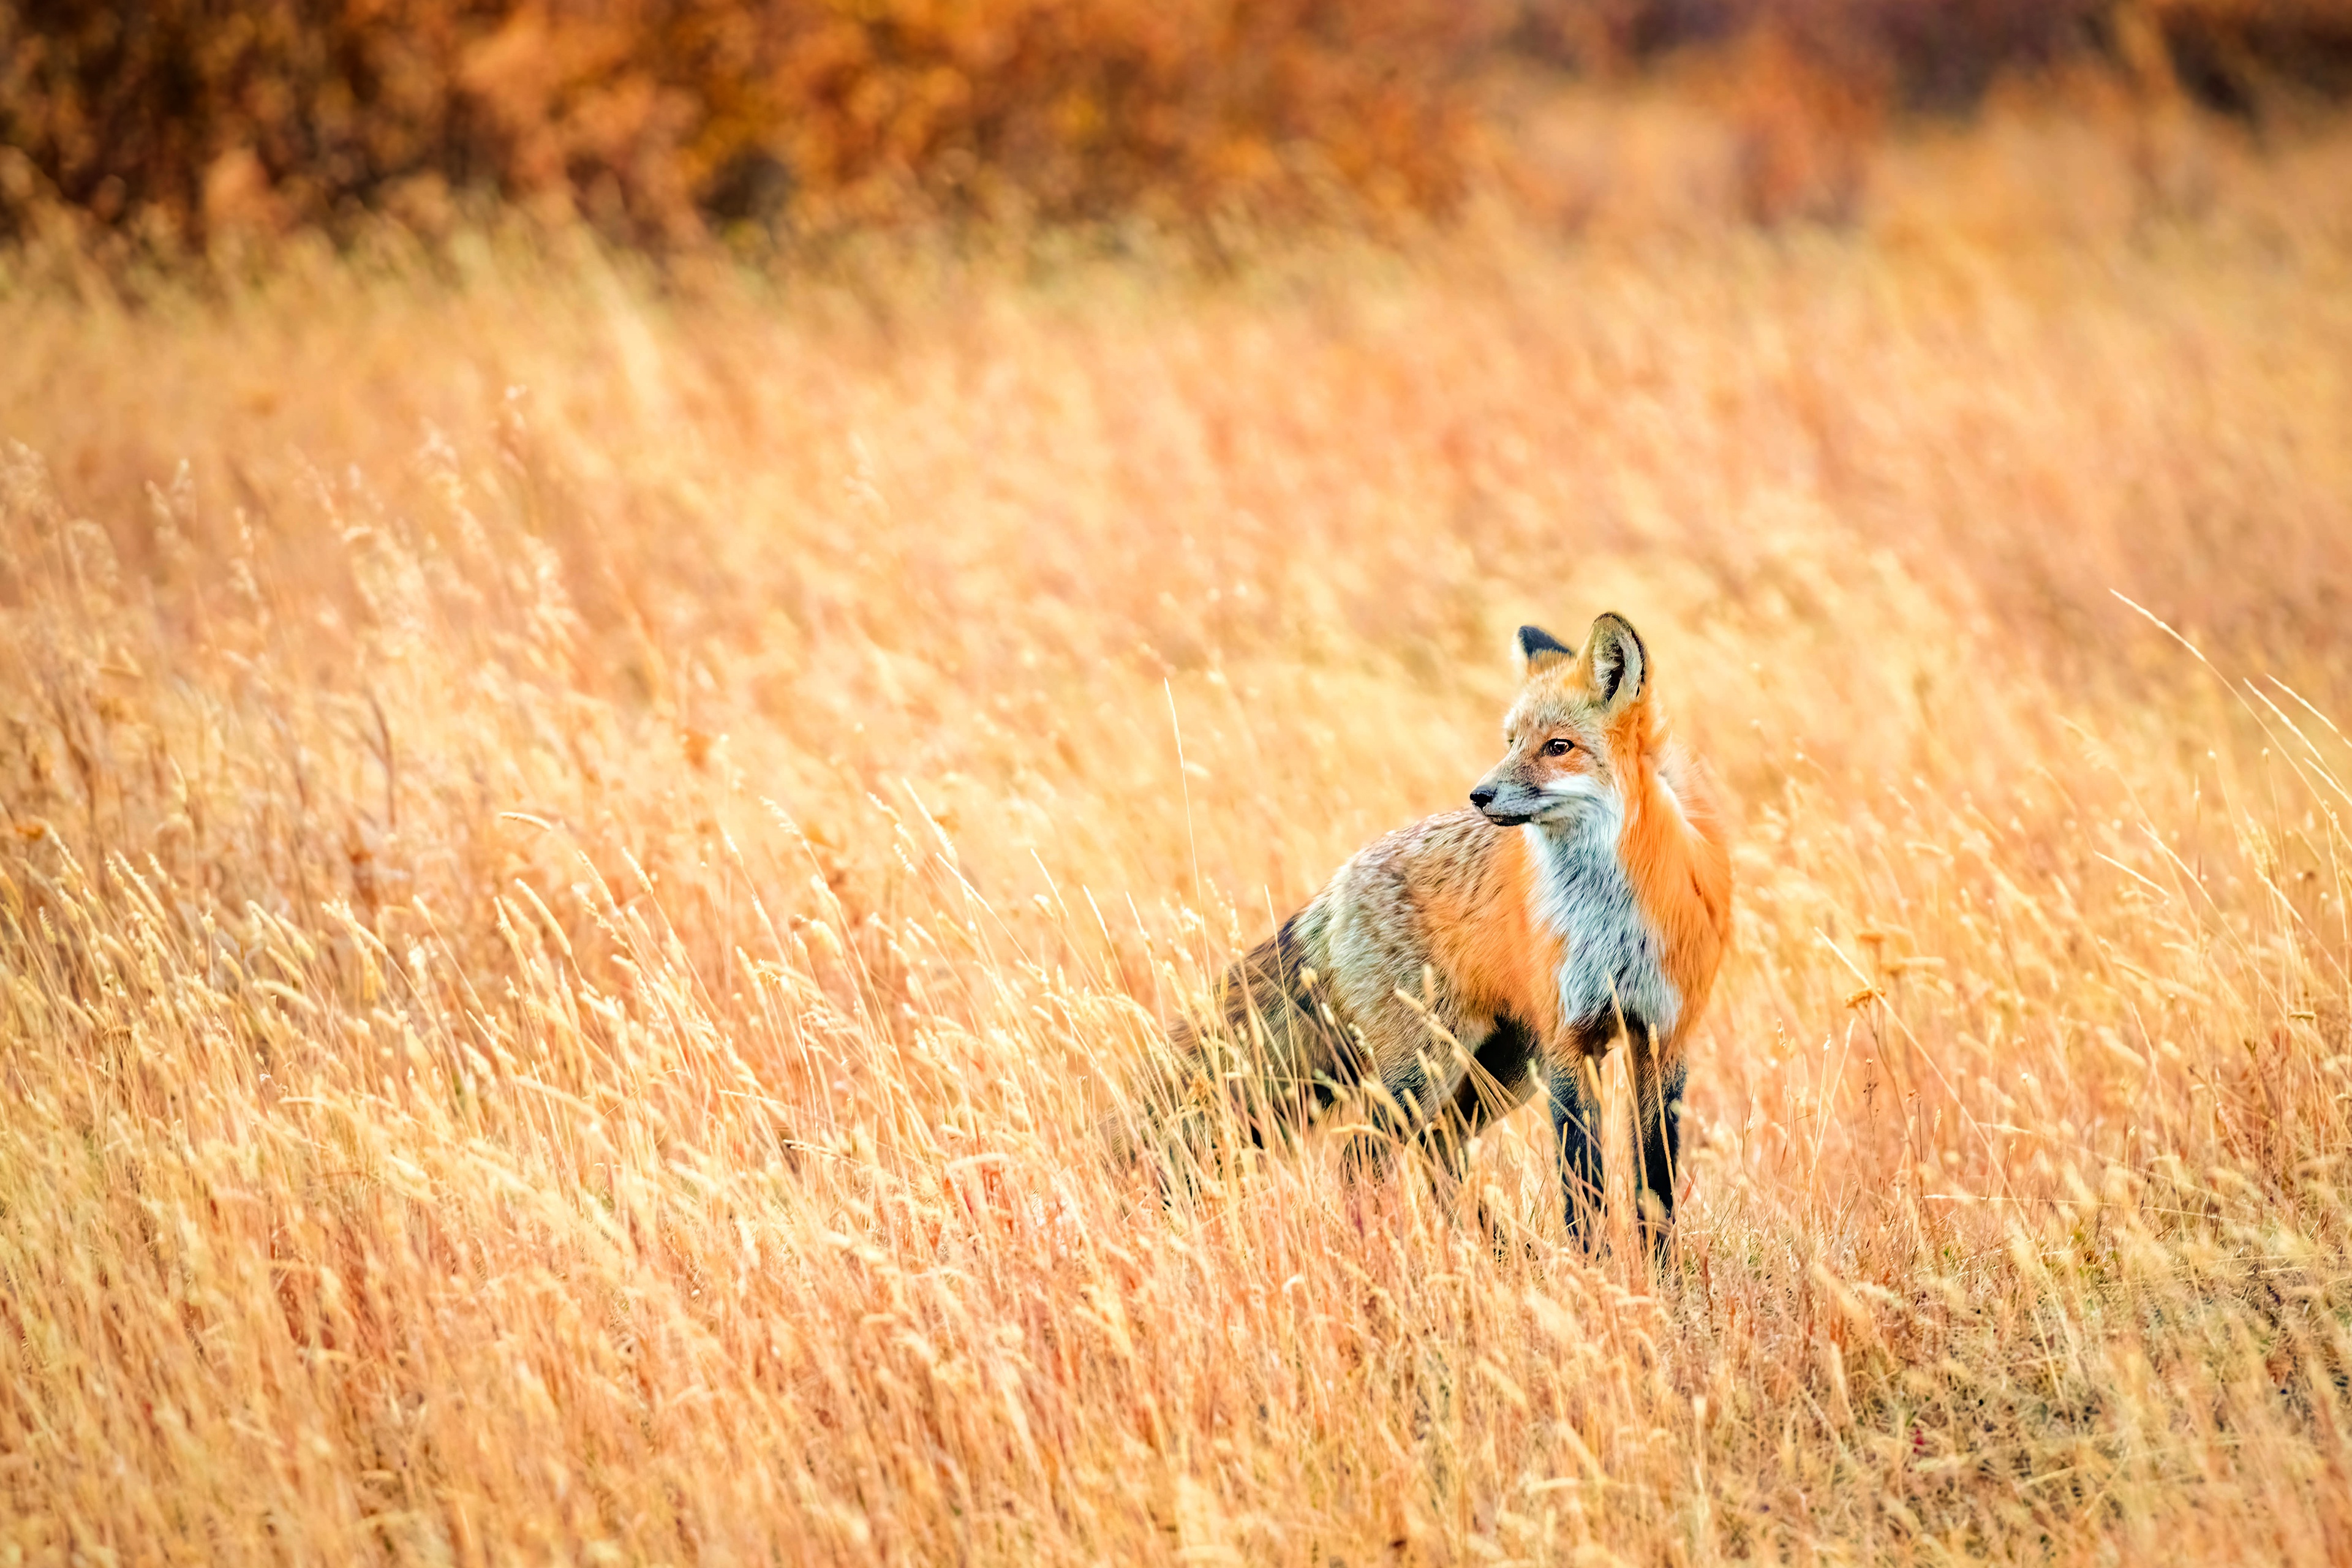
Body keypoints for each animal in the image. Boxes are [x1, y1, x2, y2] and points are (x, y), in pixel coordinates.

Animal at [1147, 611, 1740, 1250]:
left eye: (1558, 747)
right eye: (1510, 742)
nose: (1479, 795)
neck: (1612, 920)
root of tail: (1337, 885)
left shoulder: (1663, 1038)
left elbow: (1655, 1187)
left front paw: (1659, 1275)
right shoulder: (1569, 1042)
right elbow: (1582, 1183)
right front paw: (1594, 1271)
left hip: (1502, 1068)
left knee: (1438, 1146)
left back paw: (1496, 1253)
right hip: (1431, 1066)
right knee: (1362, 1158)